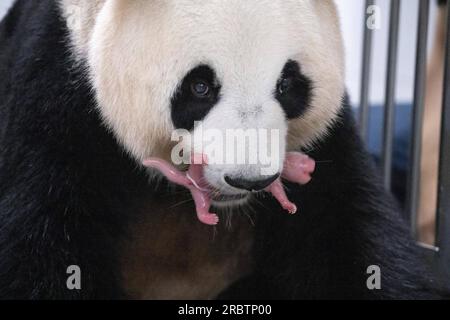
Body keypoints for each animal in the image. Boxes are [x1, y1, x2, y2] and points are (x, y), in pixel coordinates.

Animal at [0, 0, 446, 300]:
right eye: (200, 86)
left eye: (287, 84)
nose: (250, 179)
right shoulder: (56, 97)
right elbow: (42, 248)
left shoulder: (326, 144)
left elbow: (354, 236)